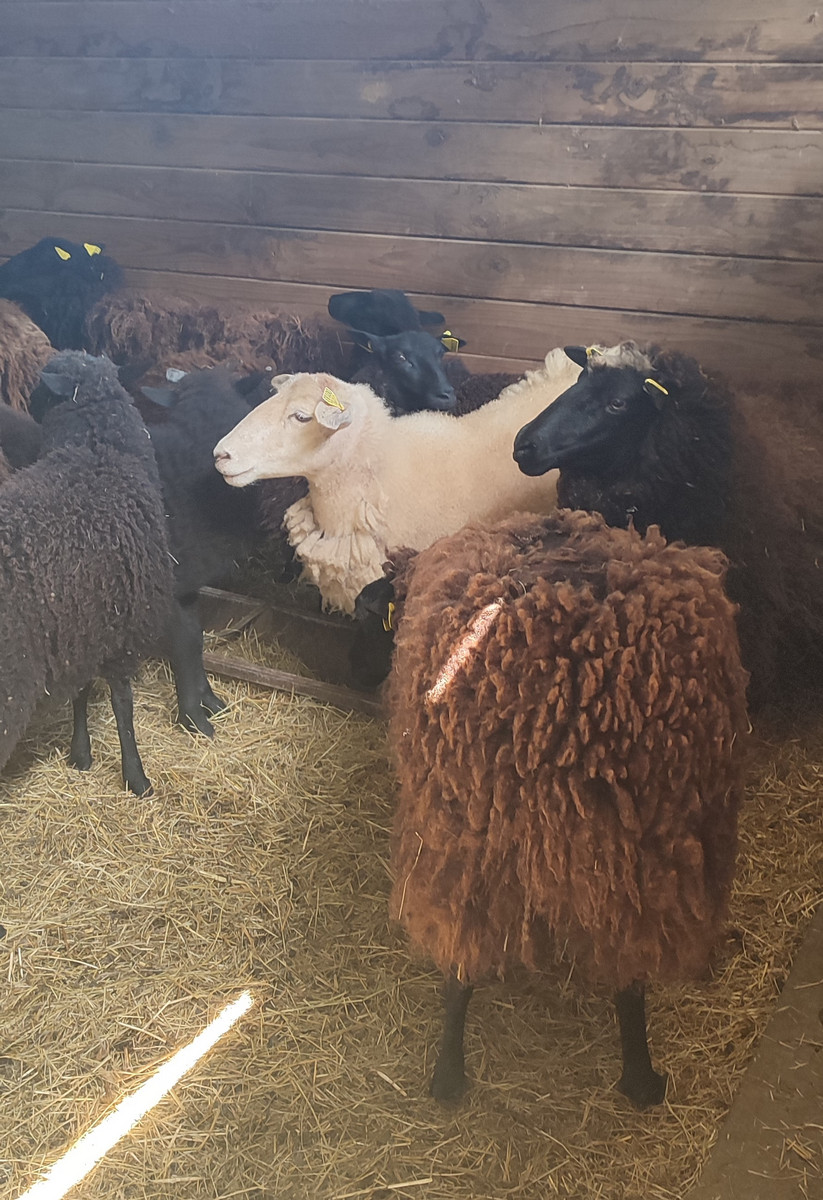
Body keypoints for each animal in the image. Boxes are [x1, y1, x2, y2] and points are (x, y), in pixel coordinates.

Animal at [1, 351, 174, 795]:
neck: (97, 451)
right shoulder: (122, 628)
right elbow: (123, 703)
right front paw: (136, 776)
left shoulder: (82, 627)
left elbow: (82, 693)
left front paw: (80, 754)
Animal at [382, 507, 749, 1107]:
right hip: (647, 843)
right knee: (628, 960)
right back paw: (639, 1078)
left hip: (470, 832)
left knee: (463, 956)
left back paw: (450, 1076)